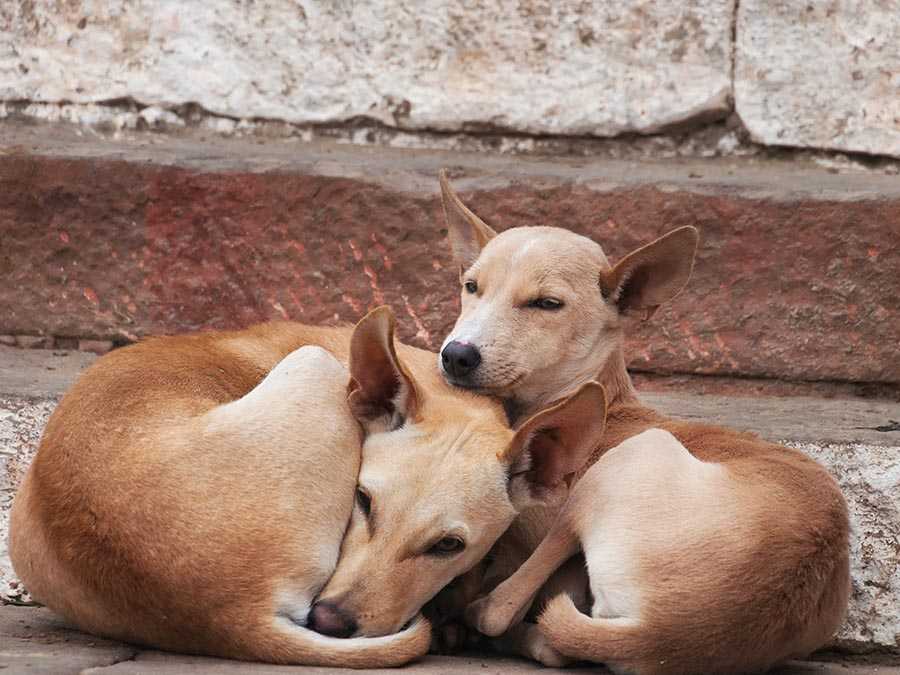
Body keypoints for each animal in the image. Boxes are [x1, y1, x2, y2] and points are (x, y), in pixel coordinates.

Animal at [436, 172, 852, 672]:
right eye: (471, 286)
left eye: (547, 303)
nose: (457, 355)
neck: (593, 395)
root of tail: (662, 633)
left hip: (623, 461)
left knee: (502, 611)